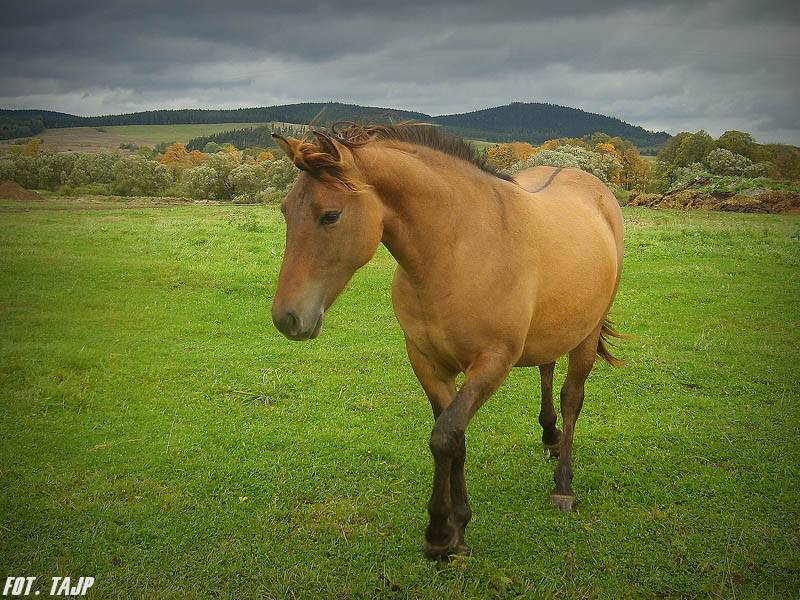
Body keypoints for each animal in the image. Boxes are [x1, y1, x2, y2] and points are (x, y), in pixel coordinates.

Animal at [270, 124, 624, 560]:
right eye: (286, 210)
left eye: (330, 215)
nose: (287, 318)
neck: (456, 252)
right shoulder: (427, 362)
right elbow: (454, 437)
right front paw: (459, 525)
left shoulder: (492, 362)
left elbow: (444, 436)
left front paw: (440, 533)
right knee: (546, 368)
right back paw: (550, 437)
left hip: (587, 335)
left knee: (572, 398)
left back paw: (563, 485)